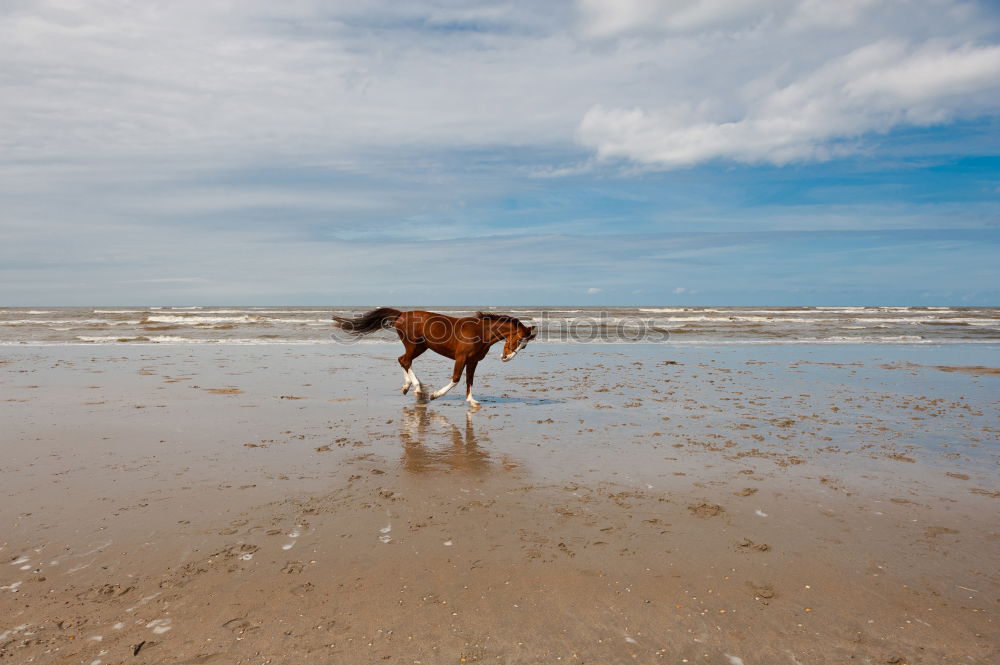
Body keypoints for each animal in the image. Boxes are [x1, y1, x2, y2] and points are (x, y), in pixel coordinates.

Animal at [332, 308, 536, 408]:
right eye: (518, 340)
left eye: (525, 346)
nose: (506, 358)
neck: (480, 332)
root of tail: (401, 314)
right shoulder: (461, 358)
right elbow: (456, 379)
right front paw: (435, 395)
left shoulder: (473, 361)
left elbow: (469, 381)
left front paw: (472, 401)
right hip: (413, 345)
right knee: (404, 361)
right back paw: (418, 389)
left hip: (421, 347)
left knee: (402, 360)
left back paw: (409, 387)